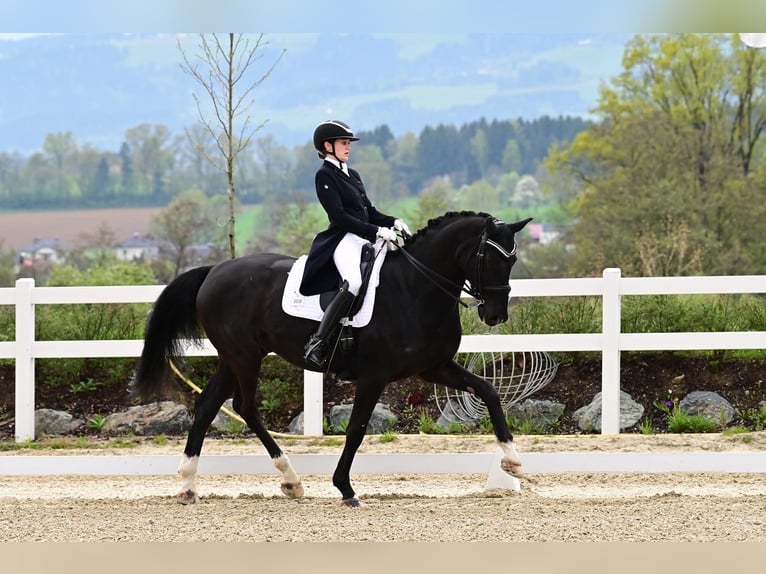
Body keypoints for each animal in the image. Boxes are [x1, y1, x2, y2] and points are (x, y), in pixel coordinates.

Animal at [135, 213, 536, 508]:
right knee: (245, 407)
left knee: (207, 406)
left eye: (513, 258)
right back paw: (290, 479)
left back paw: (190, 485)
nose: (495, 315)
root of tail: (214, 270)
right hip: (244, 357)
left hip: (233, 358)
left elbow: (489, 392)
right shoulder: (374, 375)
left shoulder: (433, 367)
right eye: (491, 258)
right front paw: (345, 488)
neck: (415, 289)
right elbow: (356, 428)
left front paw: (513, 462)